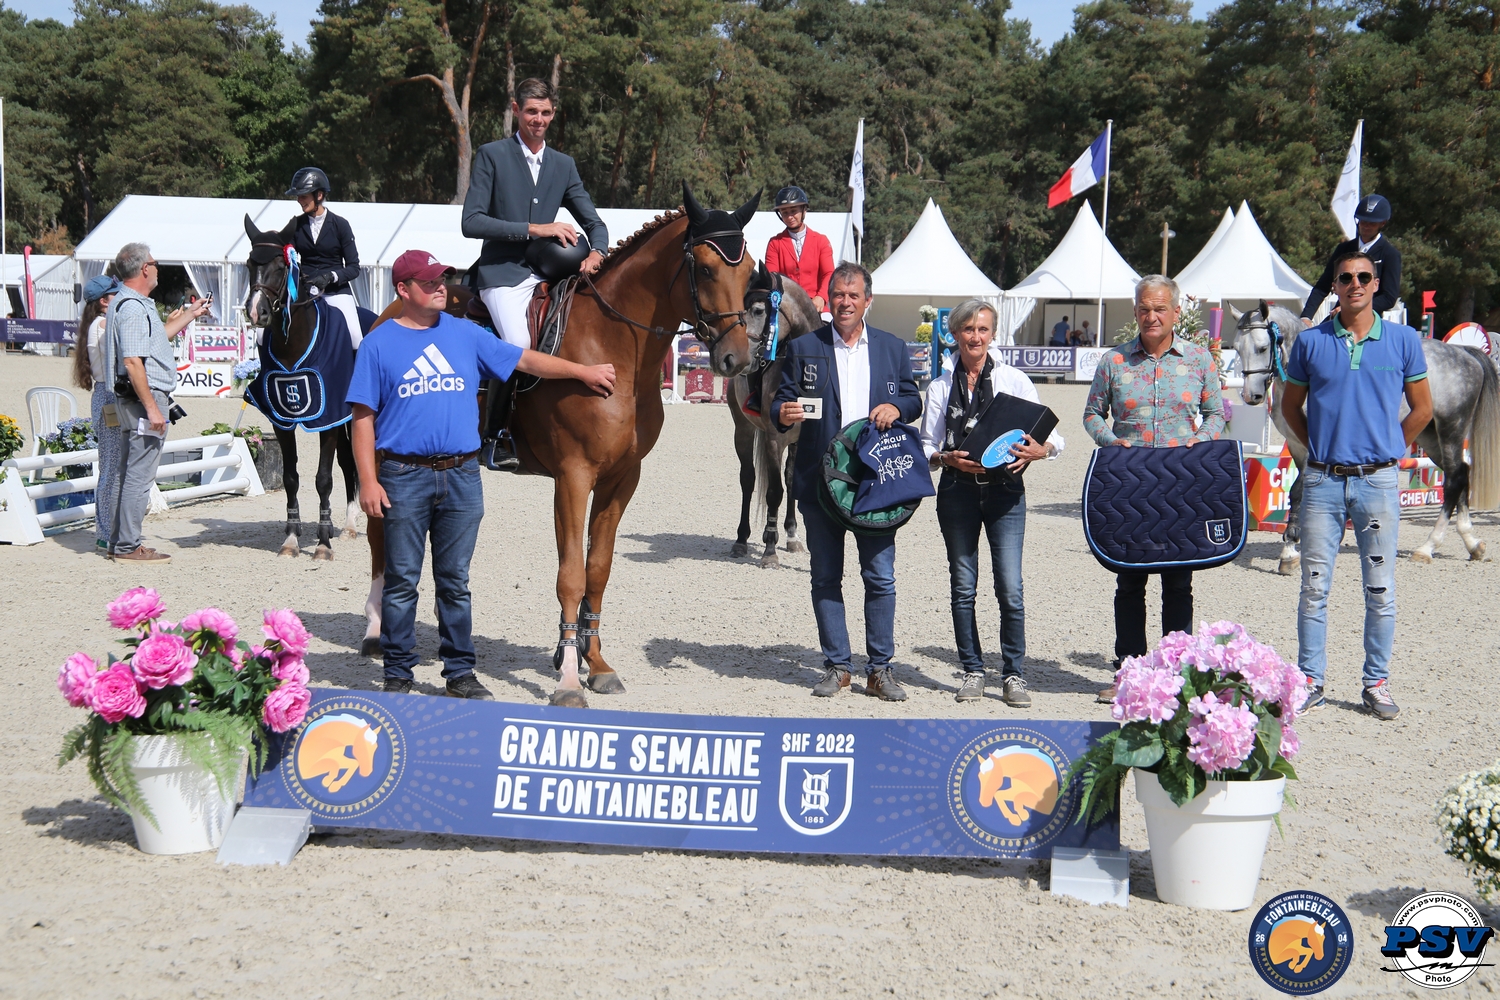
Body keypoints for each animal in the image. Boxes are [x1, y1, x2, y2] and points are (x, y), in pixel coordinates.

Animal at [242, 217, 362, 564]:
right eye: (249, 263)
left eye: (283, 266)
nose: (256, 312)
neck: (292, 342)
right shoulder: (281, 420)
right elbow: (290, 478)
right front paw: (292, 539)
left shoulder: (329, 417)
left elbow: (323, 478)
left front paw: (322, 544)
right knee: (348, 463)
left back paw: (351, 525)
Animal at [725, 263, 823, 567]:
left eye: (758, 310)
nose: (739, 358)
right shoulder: (772, 439)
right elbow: (773, 492)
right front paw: (769, 549)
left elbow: (793, 484)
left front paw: (790, 537)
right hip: (743, 430)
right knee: (748, 479)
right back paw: (741, 540)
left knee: (789, 478)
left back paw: (791, 535)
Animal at [1232, 300, 1500, 570]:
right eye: (1236, 349)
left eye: (1262, 347)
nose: (1251, 396)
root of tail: (1463, 353)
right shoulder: (1297, 445)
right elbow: (1303, 493)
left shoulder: (1313, 447)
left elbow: (1298, 491)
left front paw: (1290, 552)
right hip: (1430, 436)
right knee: (1461, 473)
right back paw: (1472, 543)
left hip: (1451, 428)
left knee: (1455, 478)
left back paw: (1428, 546)